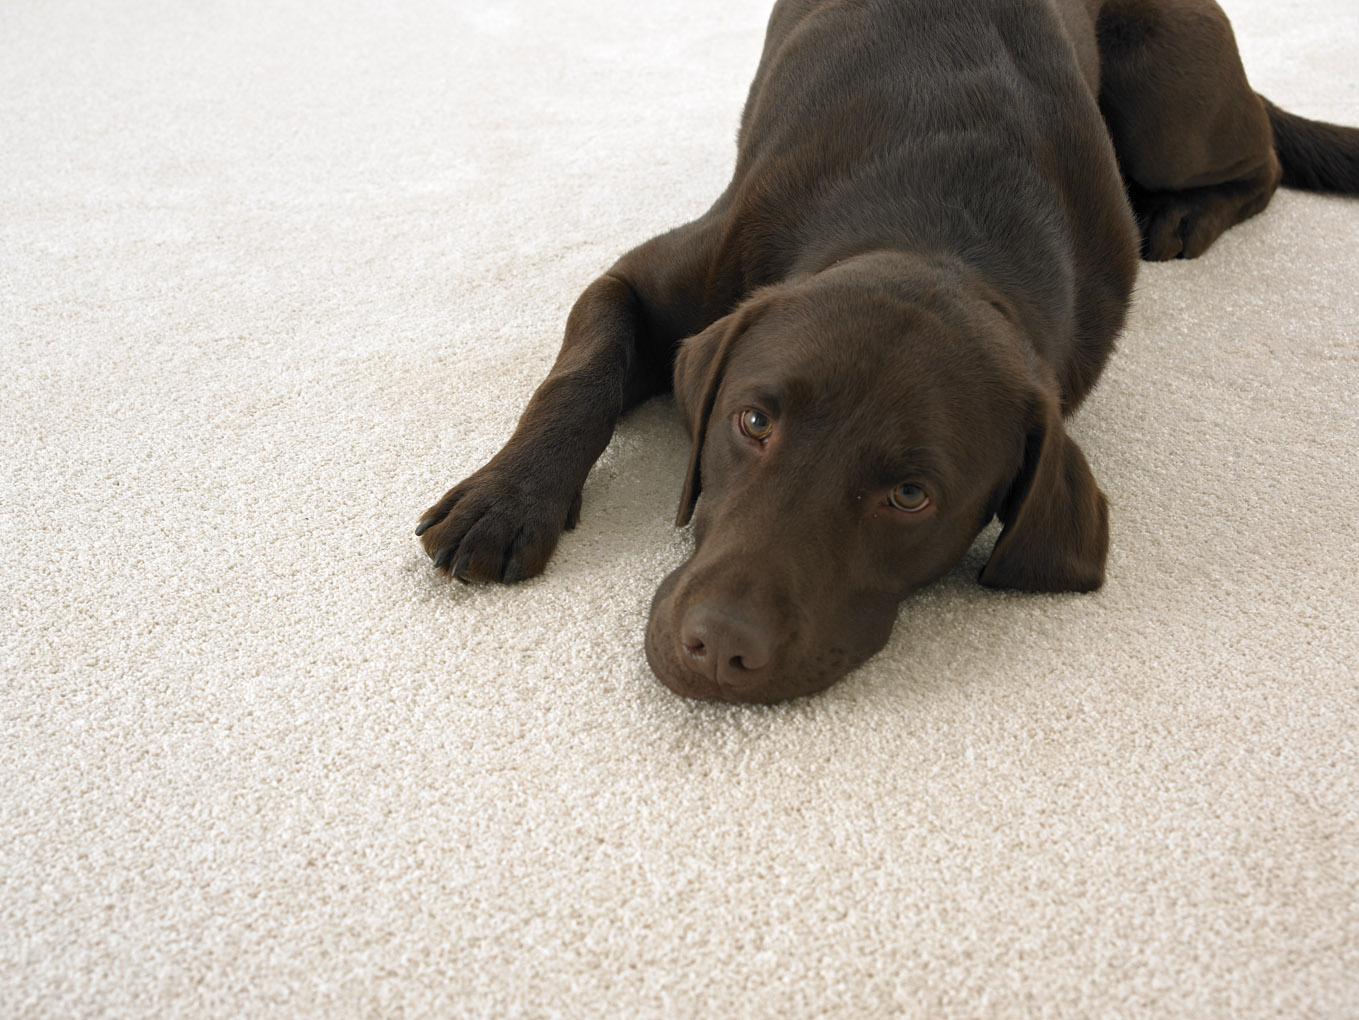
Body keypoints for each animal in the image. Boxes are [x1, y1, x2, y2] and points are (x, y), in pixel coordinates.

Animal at [415, 0, 1359, 700]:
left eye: (911, 496)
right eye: (751, 422)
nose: (717, 648)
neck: (935, 232)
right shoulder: (647, 279)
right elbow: (578, 378)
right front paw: (506, 501)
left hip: (1170, 106)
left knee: (1261, 159)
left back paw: (1184, 212)